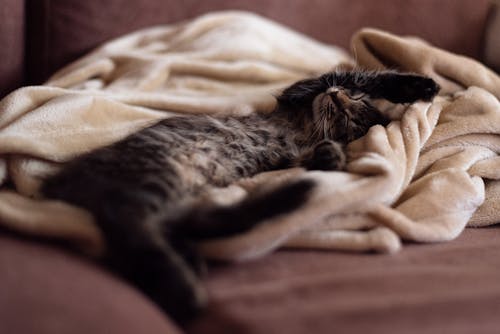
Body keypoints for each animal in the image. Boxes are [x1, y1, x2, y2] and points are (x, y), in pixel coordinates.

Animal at [41, 70, 440, 324]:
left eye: (346, 112)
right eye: (350, 101)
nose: (336, 96)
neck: (303, 128)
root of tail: (59, 182)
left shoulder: (292, 153)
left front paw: (332, 157)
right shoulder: (296, 92)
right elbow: (352, 72)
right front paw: (422, 86)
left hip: (160, 186)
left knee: (149, 227)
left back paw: (187, 278)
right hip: (156, 180)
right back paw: (186, 282)